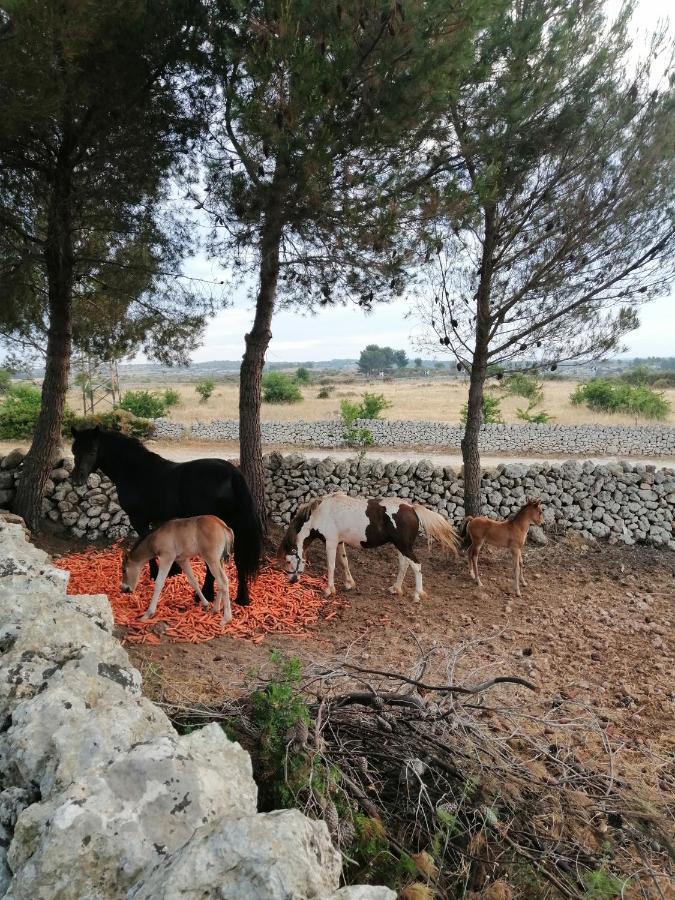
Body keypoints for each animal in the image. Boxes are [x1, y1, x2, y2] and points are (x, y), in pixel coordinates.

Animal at [71, 428, 262, 604]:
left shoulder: (138, 519)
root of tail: (232, 473)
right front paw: (174, 570)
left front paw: (155, 573)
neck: (134, 470)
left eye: (92, 450)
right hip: (234, 526)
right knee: (239, 559)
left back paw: (205, 594)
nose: (76, 479)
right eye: (74, 450)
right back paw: (242, 598)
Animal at [278, 496, 460, 600]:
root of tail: (412, 508)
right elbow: (344, 562)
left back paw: (417, 594)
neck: (321, 514)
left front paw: (329, 589)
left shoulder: (330, 542)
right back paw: (396, 589)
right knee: (404, 565)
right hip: (401, 547)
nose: (292, 581)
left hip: (404, 546)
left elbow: (331, 566)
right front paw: (349, 584)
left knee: (416, 566)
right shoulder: (339, 543)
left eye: (287, 561)